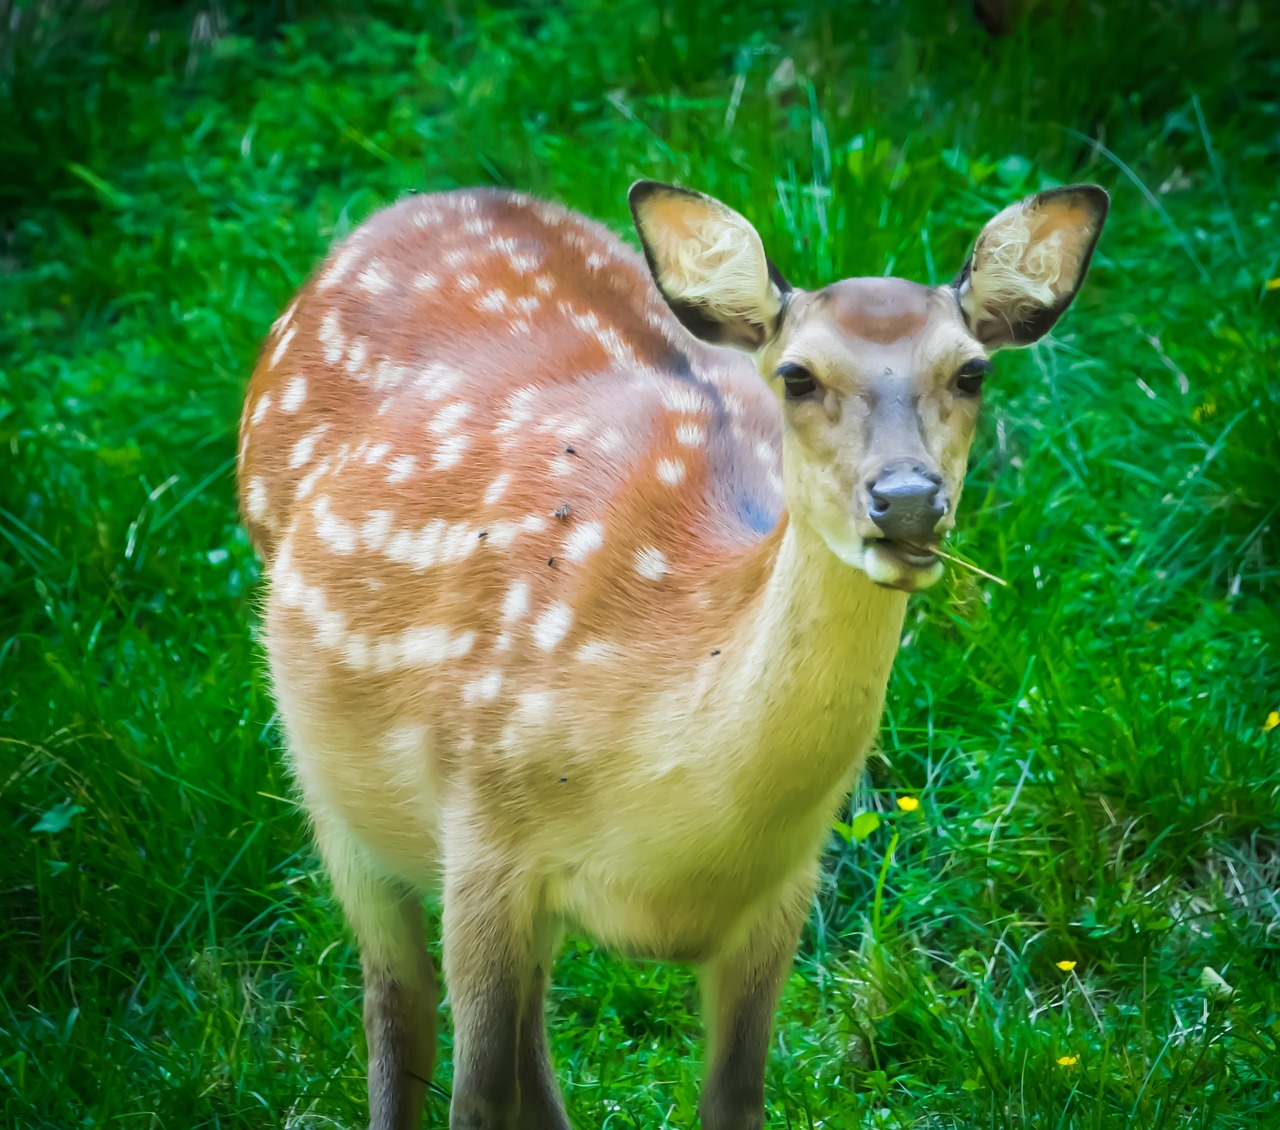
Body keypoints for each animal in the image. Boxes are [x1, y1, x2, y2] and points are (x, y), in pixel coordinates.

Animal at [238, 179, 1111, 1130]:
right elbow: (472, 1097)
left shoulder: (785, 892)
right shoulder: (481, 831)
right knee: (397, 1009)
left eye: (971, 371)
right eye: (798, 375)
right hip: (332, 793)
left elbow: (732, 1099)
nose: (909, 499)